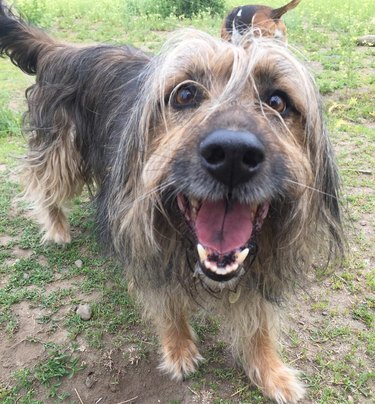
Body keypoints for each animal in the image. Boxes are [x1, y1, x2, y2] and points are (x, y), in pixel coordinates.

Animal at [0, 1, 344, 402]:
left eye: (277, 101)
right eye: (185, 94)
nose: (232, 155)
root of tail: (65, 50)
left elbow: (259, 324)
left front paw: (271, 371)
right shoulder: (149, 249)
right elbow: (168, 306)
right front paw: (179, 350)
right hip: (62, 150)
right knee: (45, 183)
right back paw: (56, 228)